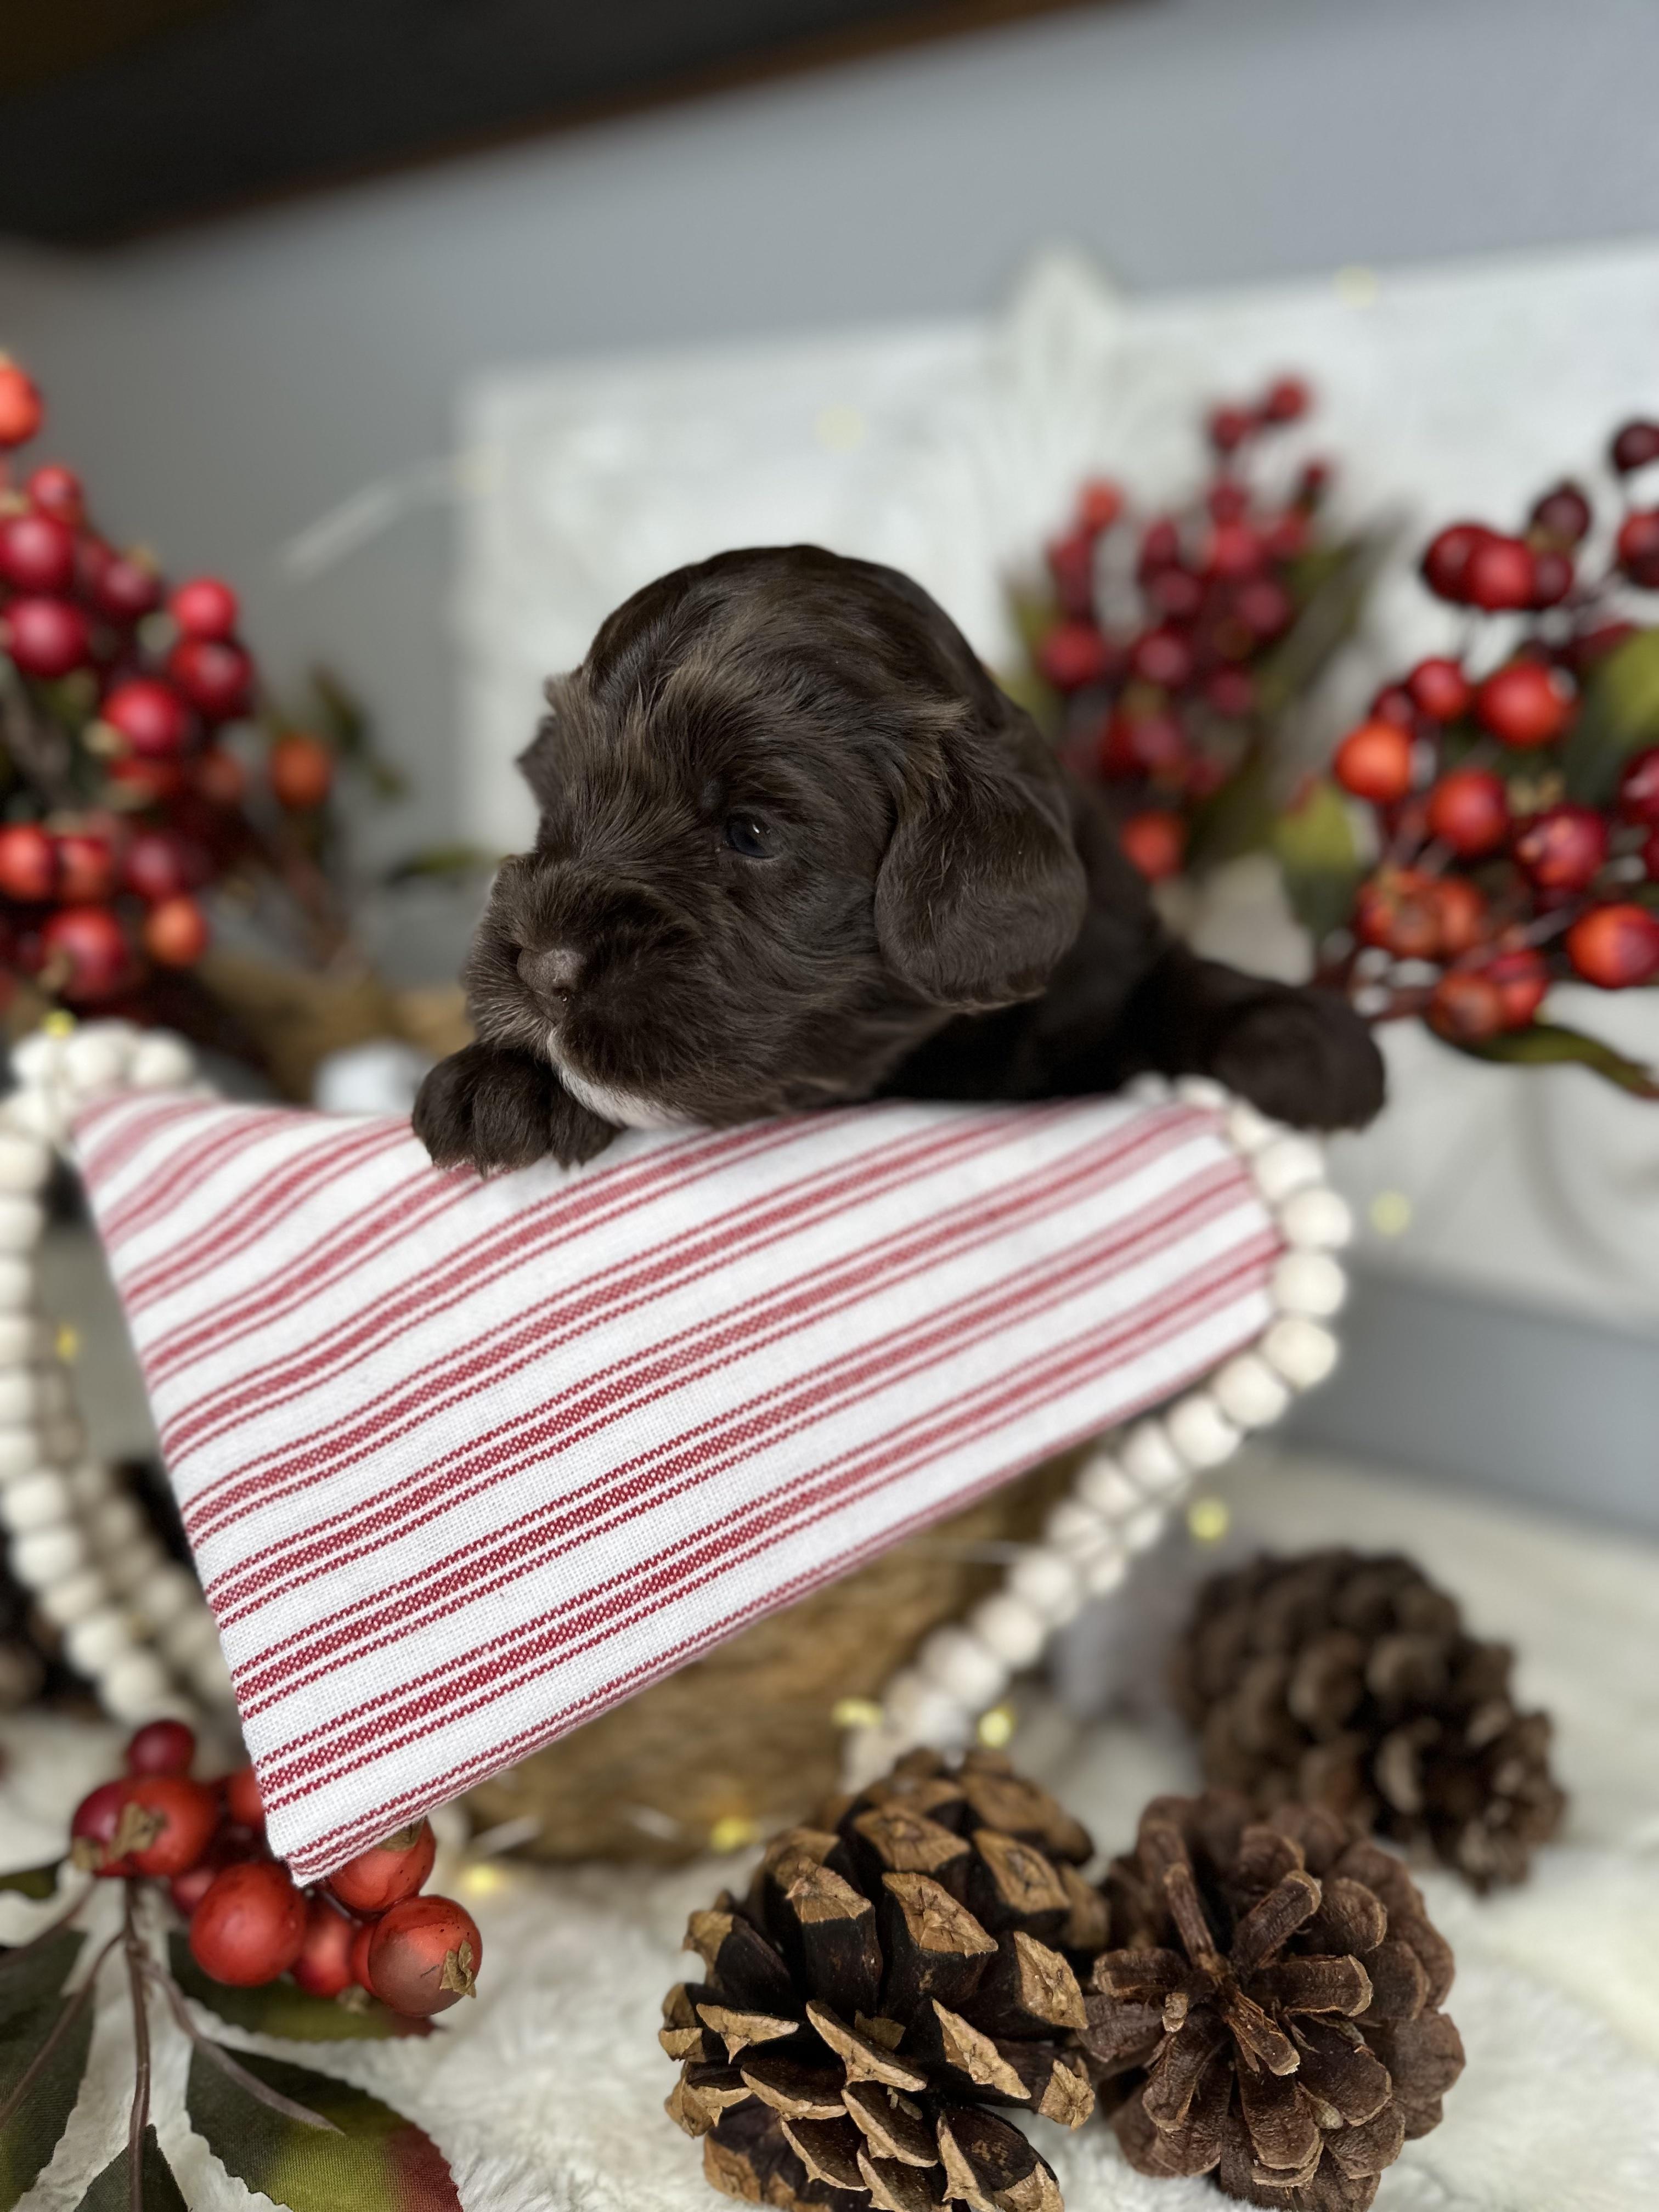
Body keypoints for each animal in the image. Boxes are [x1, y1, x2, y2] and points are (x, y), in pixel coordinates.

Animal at [414, 546, 1384, 1173]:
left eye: (750, 833)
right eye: (559, 807)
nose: (541, 970)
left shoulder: (1112, 957)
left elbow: (1177, 983)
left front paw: (1308, 1038)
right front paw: (504, 1082)